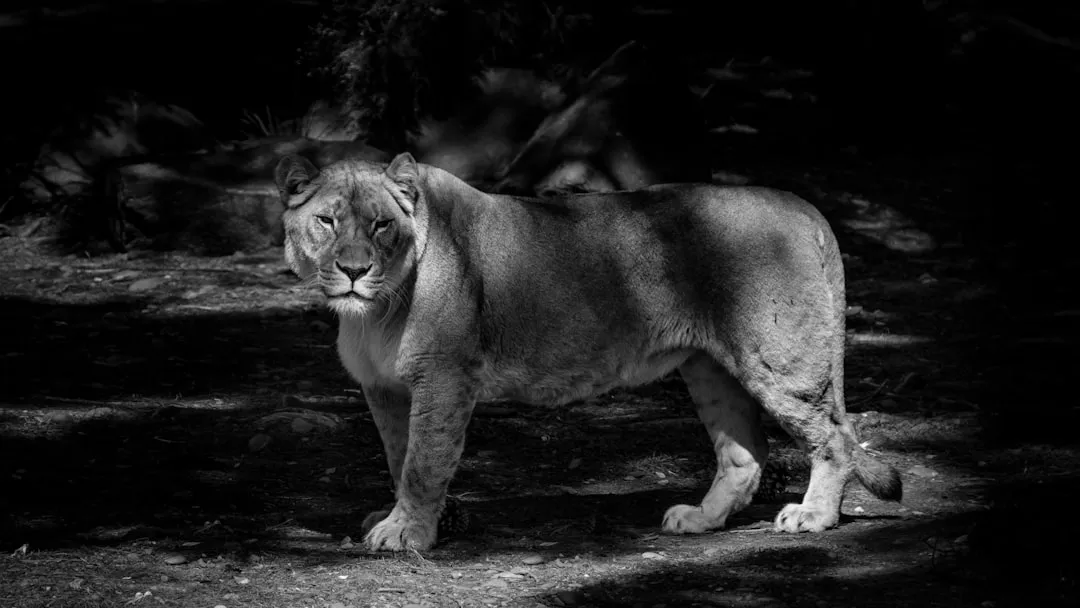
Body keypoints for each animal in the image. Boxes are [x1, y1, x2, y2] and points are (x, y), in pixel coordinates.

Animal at [274, 152, 902, 552]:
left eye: (381, 225)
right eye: (326, 221)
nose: (354, 271)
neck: (375, 312)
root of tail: (801, 206)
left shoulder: (445, 377)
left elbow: (425, 461)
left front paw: (407, 532)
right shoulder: (385, 387)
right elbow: (400, 454)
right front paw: (433, 519)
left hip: (780, 360)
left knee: (836, 436)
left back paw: (812, 516)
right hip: (709, 367)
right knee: (746, 452)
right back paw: (700, 518)